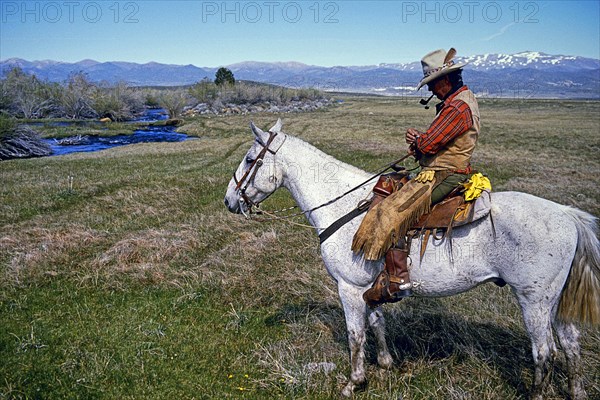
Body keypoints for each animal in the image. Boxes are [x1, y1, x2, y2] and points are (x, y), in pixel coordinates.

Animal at [224, 119, 600, 400]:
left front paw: (354, 382)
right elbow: (376, 322)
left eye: (249, 159)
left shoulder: (349, 287)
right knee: (571, 344)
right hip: (554, 301)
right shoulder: (369, 287)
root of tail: (568, 215)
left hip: (533, 300)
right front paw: (386, 363)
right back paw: (576, 391)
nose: (229, 201)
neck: (343, 205)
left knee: (544, 352)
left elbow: (355, 334)